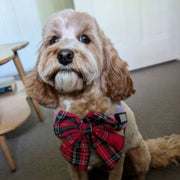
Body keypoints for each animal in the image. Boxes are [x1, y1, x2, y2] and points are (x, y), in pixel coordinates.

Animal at [25, 9, 180, 180]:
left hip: (137, 155)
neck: (81, 102)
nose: (64, 55)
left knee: (140, 174)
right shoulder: (73, 161)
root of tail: (147, 145)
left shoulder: (116, 158)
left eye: (85, 38)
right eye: (54, 39)